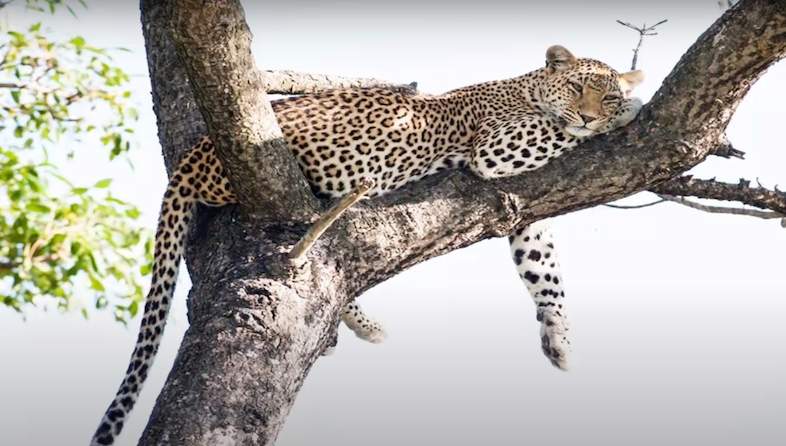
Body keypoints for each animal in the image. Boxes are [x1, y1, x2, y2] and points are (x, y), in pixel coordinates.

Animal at [91, 45, 643, 445]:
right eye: (578, 87)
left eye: (604, 95)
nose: (593, 117)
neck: (524, 86)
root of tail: (195, 152)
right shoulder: (495, 148)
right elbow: (554, 131)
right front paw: (631, 110)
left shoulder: (522, 207)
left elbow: (542, 266)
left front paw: (559, 336)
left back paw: (363, 323)